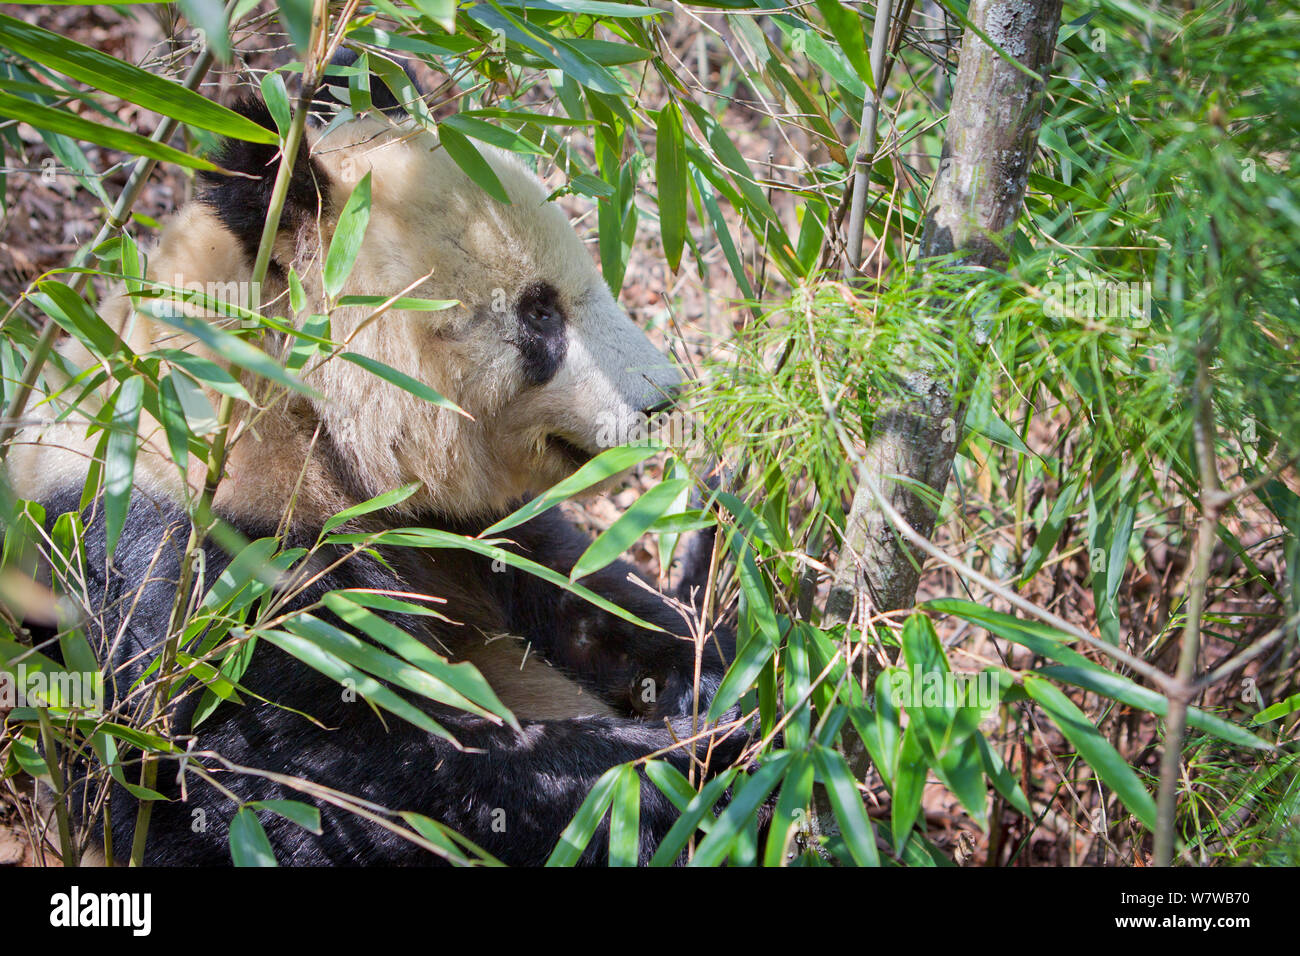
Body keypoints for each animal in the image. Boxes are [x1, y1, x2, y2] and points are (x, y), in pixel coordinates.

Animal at [7, 67, 743, 868]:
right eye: (539, 311)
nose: (663, 398)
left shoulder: (471, 527)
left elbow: (594, 602)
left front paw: (724, 679)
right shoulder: (189, 558)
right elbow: (316, 785)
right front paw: (697, 759)